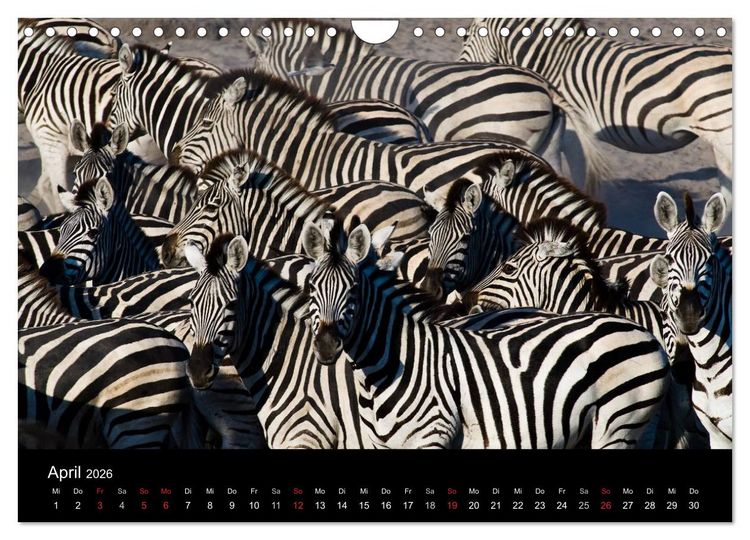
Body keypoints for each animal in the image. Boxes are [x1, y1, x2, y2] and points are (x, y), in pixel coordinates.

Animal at [298, 218, 668, 448]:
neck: (395, 360)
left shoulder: (435, 435)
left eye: (353, 291)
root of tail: (642, 331)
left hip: (619, 424)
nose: (326, 346)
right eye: (311, 287)